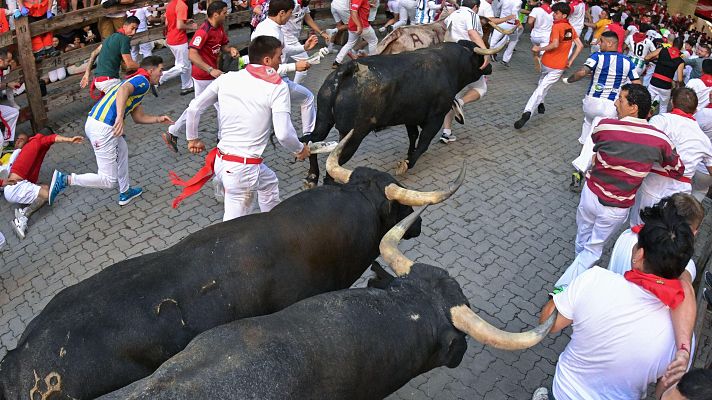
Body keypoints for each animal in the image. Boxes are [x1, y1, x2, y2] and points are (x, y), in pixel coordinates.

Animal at [304, 41, 498, 185]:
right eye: (481, 57)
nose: (490, 67)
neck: (450, 64)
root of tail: (351, 68)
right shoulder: (436, 117)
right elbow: (423, 142)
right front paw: (406, 163)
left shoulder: (409, 116)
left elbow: (413, 136)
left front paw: (409, 154)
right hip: (353, 135)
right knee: (331, 168)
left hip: (323, 120)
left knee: (312, 142)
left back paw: (312, 177)